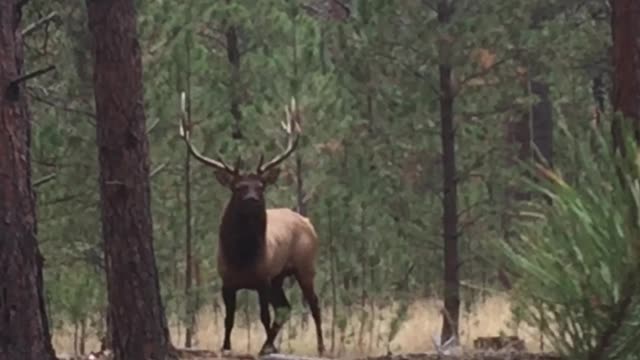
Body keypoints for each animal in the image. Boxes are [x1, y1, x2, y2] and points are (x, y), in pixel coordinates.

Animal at [178, 94, 324, 356]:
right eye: (238, 187)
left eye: (260, 186)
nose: (252, 199)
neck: (242, 258)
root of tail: (307, 222)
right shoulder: (227, 281)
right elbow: (229, 319)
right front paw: (226, 346)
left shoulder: (262, 279)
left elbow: (264, 316)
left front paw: (269, 346)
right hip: (279, 276)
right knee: (285, 307)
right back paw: (268, 344)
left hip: (305, 265)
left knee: (313, 304)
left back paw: (320, 346)